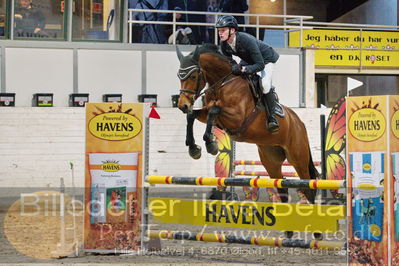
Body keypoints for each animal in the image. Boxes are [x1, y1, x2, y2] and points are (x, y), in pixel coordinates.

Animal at [177, 44, 320, 206]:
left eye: (193, 76)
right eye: (179, 76)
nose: (183, 105)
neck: (223, 83)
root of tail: (299, 123)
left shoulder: (237, 118)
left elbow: (214, 110)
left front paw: (210, 144)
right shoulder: (209, 114)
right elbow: (192, 116)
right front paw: (194, 148)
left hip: (297, 157)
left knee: (308, 184)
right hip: (271, 159)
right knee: (281, 185)